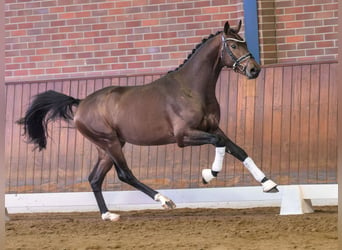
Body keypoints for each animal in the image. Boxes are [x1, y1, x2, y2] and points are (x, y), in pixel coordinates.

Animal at [17, 21, 278, 221]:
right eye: (233, 45)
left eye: (244, 42)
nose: (255, 70)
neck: (192, 89)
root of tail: (81, 103)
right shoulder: (184, 136)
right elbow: (219, 144)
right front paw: (208, 174)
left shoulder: (214, 128)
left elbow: (238, 150)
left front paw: (269, 184)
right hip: (110, 143)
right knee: (125, 175)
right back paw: (164, 200)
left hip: (107, 147)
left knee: (94, 179)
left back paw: (108, 215)